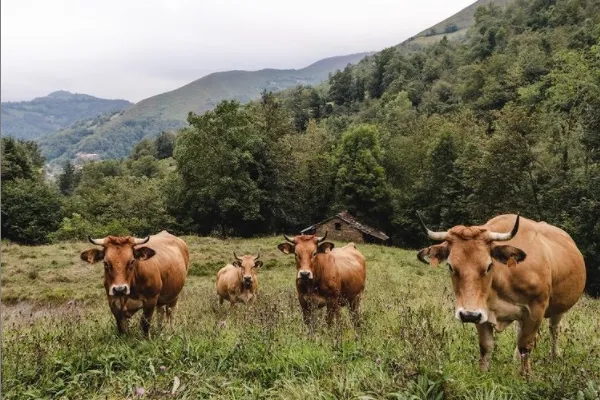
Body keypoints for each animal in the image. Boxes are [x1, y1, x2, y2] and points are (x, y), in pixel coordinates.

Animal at [418, 214, 584, 374]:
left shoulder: (536, 310)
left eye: (489, 265)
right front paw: (483, 373)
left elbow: (525, 346)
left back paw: (555, 355)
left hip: (560, 307)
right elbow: (486, 346)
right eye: (450, 266)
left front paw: (525, 375)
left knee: (554, 329)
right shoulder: (482, 312)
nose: (468, 315)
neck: (505, 276)